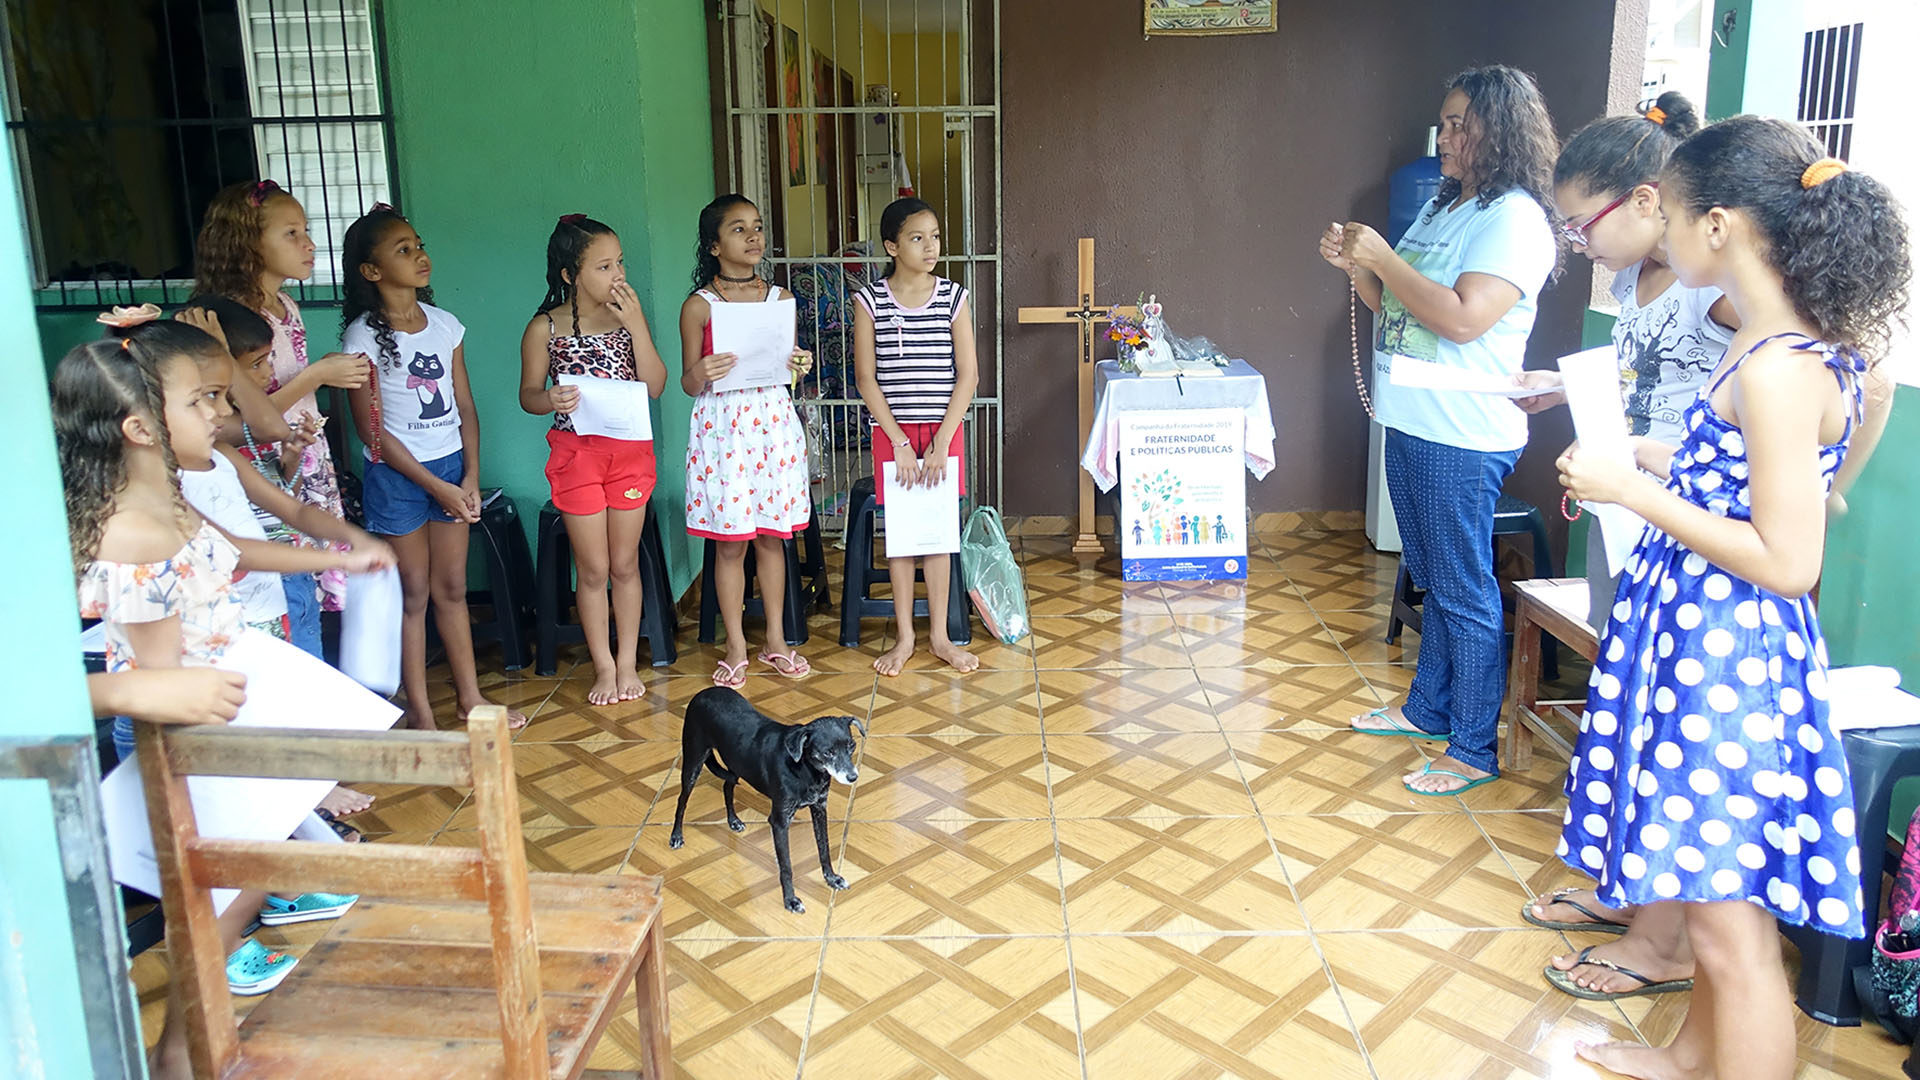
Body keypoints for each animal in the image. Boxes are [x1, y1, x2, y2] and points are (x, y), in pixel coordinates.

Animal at [668, 684, 864, 903]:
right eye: (828, 752)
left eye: (851, 746)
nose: (853, 777)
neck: (806, 769)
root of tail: (703, 692)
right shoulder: (779, 821)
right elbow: (786, 866)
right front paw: (790, 900)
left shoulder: (819, 809)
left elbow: (824, 848)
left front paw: (832, 878)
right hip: (693, 763)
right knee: (682, 800)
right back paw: (676, 835)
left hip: (736, 765)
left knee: (727, 786)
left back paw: (733, 820)